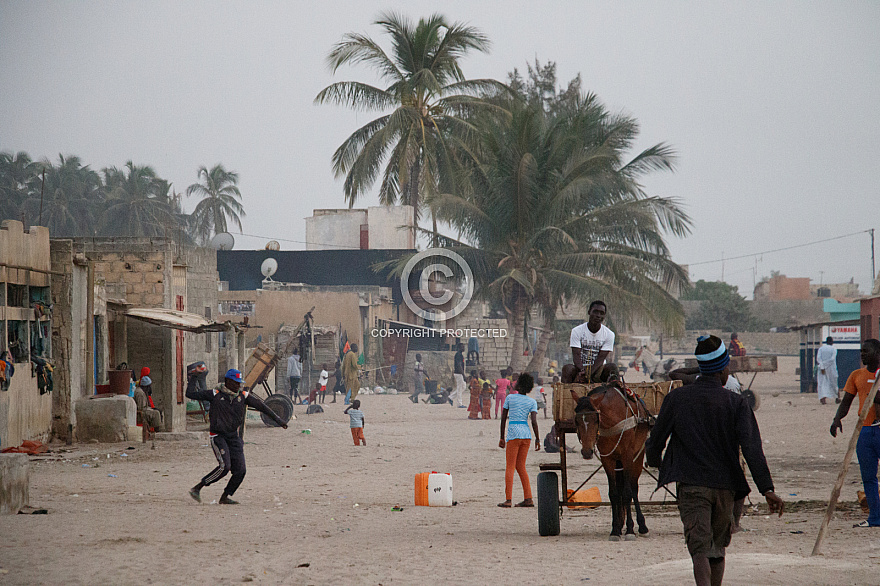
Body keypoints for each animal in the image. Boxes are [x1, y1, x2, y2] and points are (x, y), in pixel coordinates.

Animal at [572, 380, 652, 540]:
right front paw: (615, 530)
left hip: (638, 455)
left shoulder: (627, 456)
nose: (586, 451)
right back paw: (621, 524)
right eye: (577, 421)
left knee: (633, 487)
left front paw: (630, 530)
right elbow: (614, 494)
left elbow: (627, 493)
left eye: (595, 419)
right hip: (617, 461)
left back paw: (642, 526)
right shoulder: (607, 459)